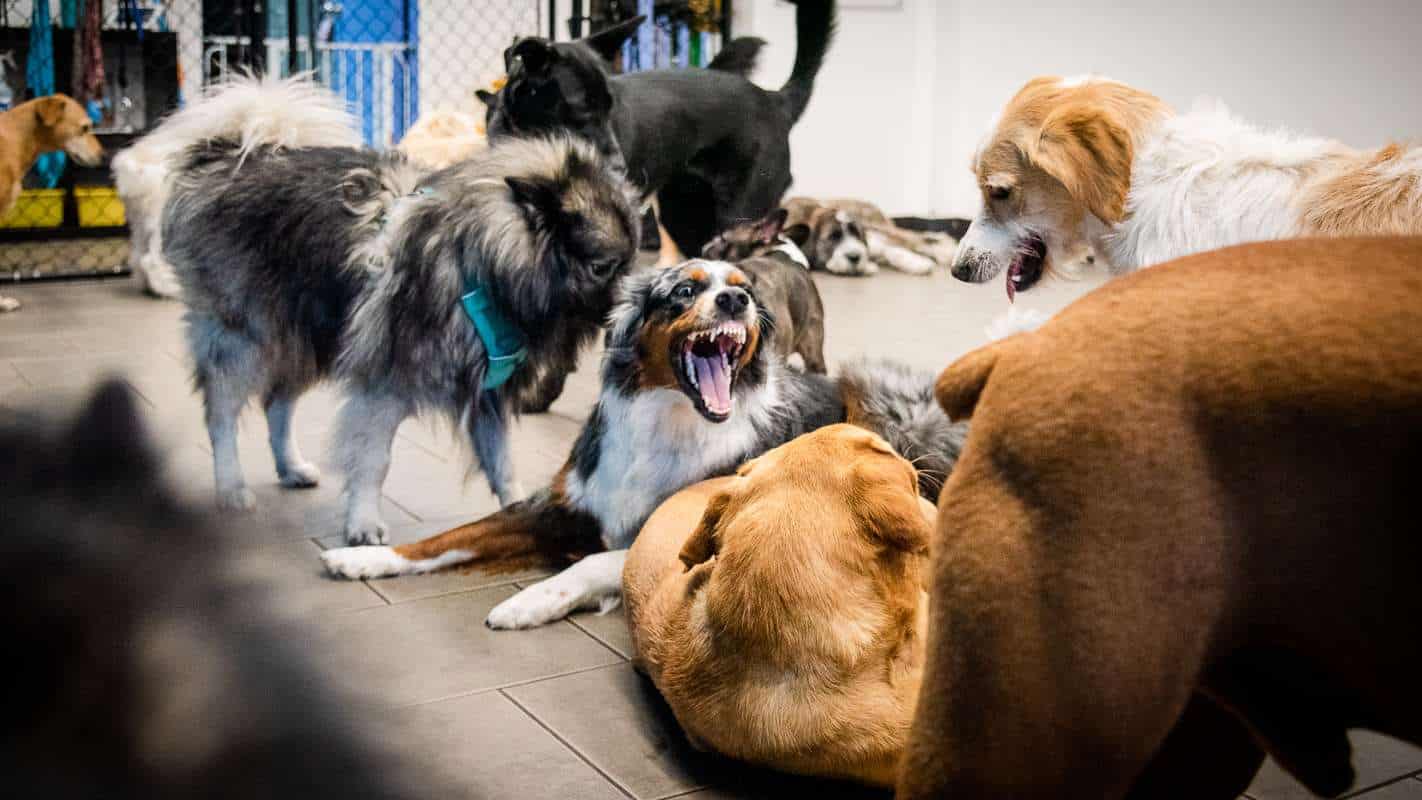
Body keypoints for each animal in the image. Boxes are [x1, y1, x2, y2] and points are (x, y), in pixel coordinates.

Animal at [160, 78, 639, 545]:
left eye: (633, 258)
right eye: (603, 267)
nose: (636, 300)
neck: (477, 263)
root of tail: (226, 154)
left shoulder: (487, 393)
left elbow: (503, 463)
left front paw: (518, 511)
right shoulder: (383, 387)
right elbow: (373, 460)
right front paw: (363, 522)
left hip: (308, 337)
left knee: (277, 402)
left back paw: (291, 467)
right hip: (245, 339)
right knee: (222, 413)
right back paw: (231, 487)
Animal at [321, 259, 966, 630]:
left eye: (744, 291)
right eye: (683, 290)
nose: (737, 302)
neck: (667, 417)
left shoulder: (671, 532)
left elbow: (593, 563)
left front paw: (530, 603)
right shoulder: (563, 504)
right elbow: (453, 537)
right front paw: (366, 557)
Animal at [483, 1, 836, 261]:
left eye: (610, 106)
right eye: (582, 107)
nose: (622, 170)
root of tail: (774, 100)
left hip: (741, 215)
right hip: (687, 218)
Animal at [782, 196, 961, 276]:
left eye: (857, 234)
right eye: (833, 237)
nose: (854, 257)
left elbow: (889, 250)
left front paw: (917, 264)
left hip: (879, 227)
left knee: (916, 240)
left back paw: (945, 252)